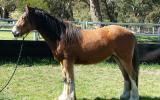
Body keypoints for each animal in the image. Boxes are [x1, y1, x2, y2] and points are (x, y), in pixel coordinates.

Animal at [11, 5, 139, 100]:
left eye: (23, 18)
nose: (14, 32)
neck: (61, 36)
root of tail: (131, 33)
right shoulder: (62, 62)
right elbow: (64, 78)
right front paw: (63, 96)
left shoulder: (67, 61)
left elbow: (69, 79)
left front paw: (70, 97)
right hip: (118, 59)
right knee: (126, 76)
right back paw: (124, 96)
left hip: (125, 59)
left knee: (132, 75)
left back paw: (134, 97)